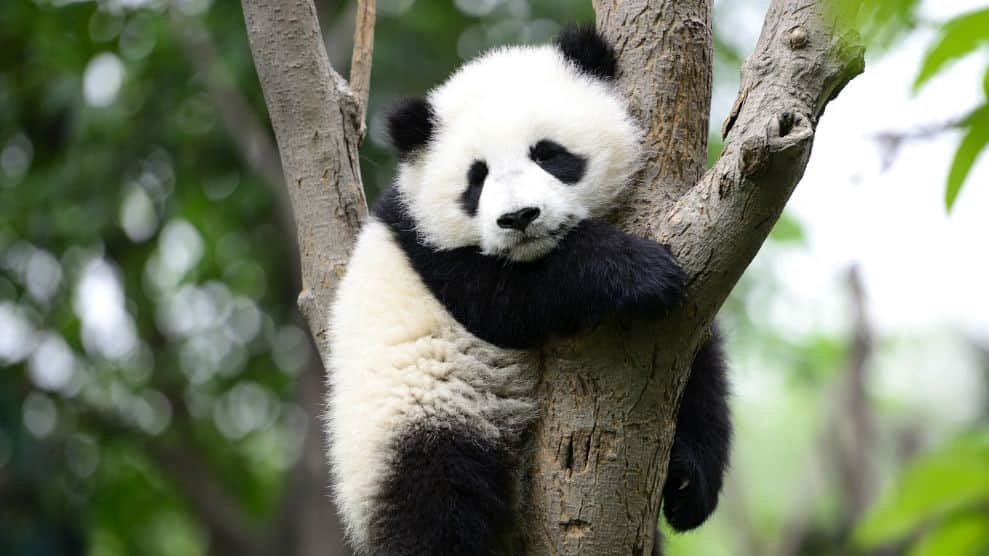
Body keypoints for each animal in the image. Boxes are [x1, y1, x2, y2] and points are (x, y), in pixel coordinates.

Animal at [326, 27, 731, 556]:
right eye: (476, 178)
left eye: (548, 154)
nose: (519, 217)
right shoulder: (430, 251)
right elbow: (506, 301)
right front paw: (638, 272)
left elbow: (697, 363)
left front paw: (688, 484)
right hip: (412, 419)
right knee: (435, 503)